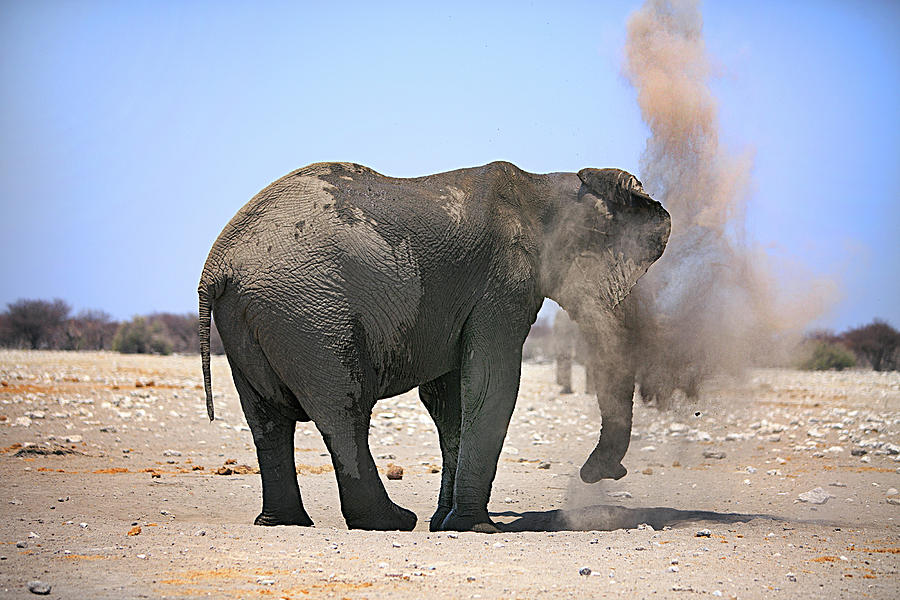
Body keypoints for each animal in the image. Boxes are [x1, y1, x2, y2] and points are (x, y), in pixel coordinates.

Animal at [198, 160, 670, 532]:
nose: (601, 474)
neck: (542, 187)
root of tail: (216, 266)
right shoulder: (502, 282)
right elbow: (491, 384)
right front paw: (476, 528)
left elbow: (450, 402)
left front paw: (445, 523)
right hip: (309, 312)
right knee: (344, 409)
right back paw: (391, 521)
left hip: (253, 317)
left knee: (267, 420)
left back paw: (284, 522)